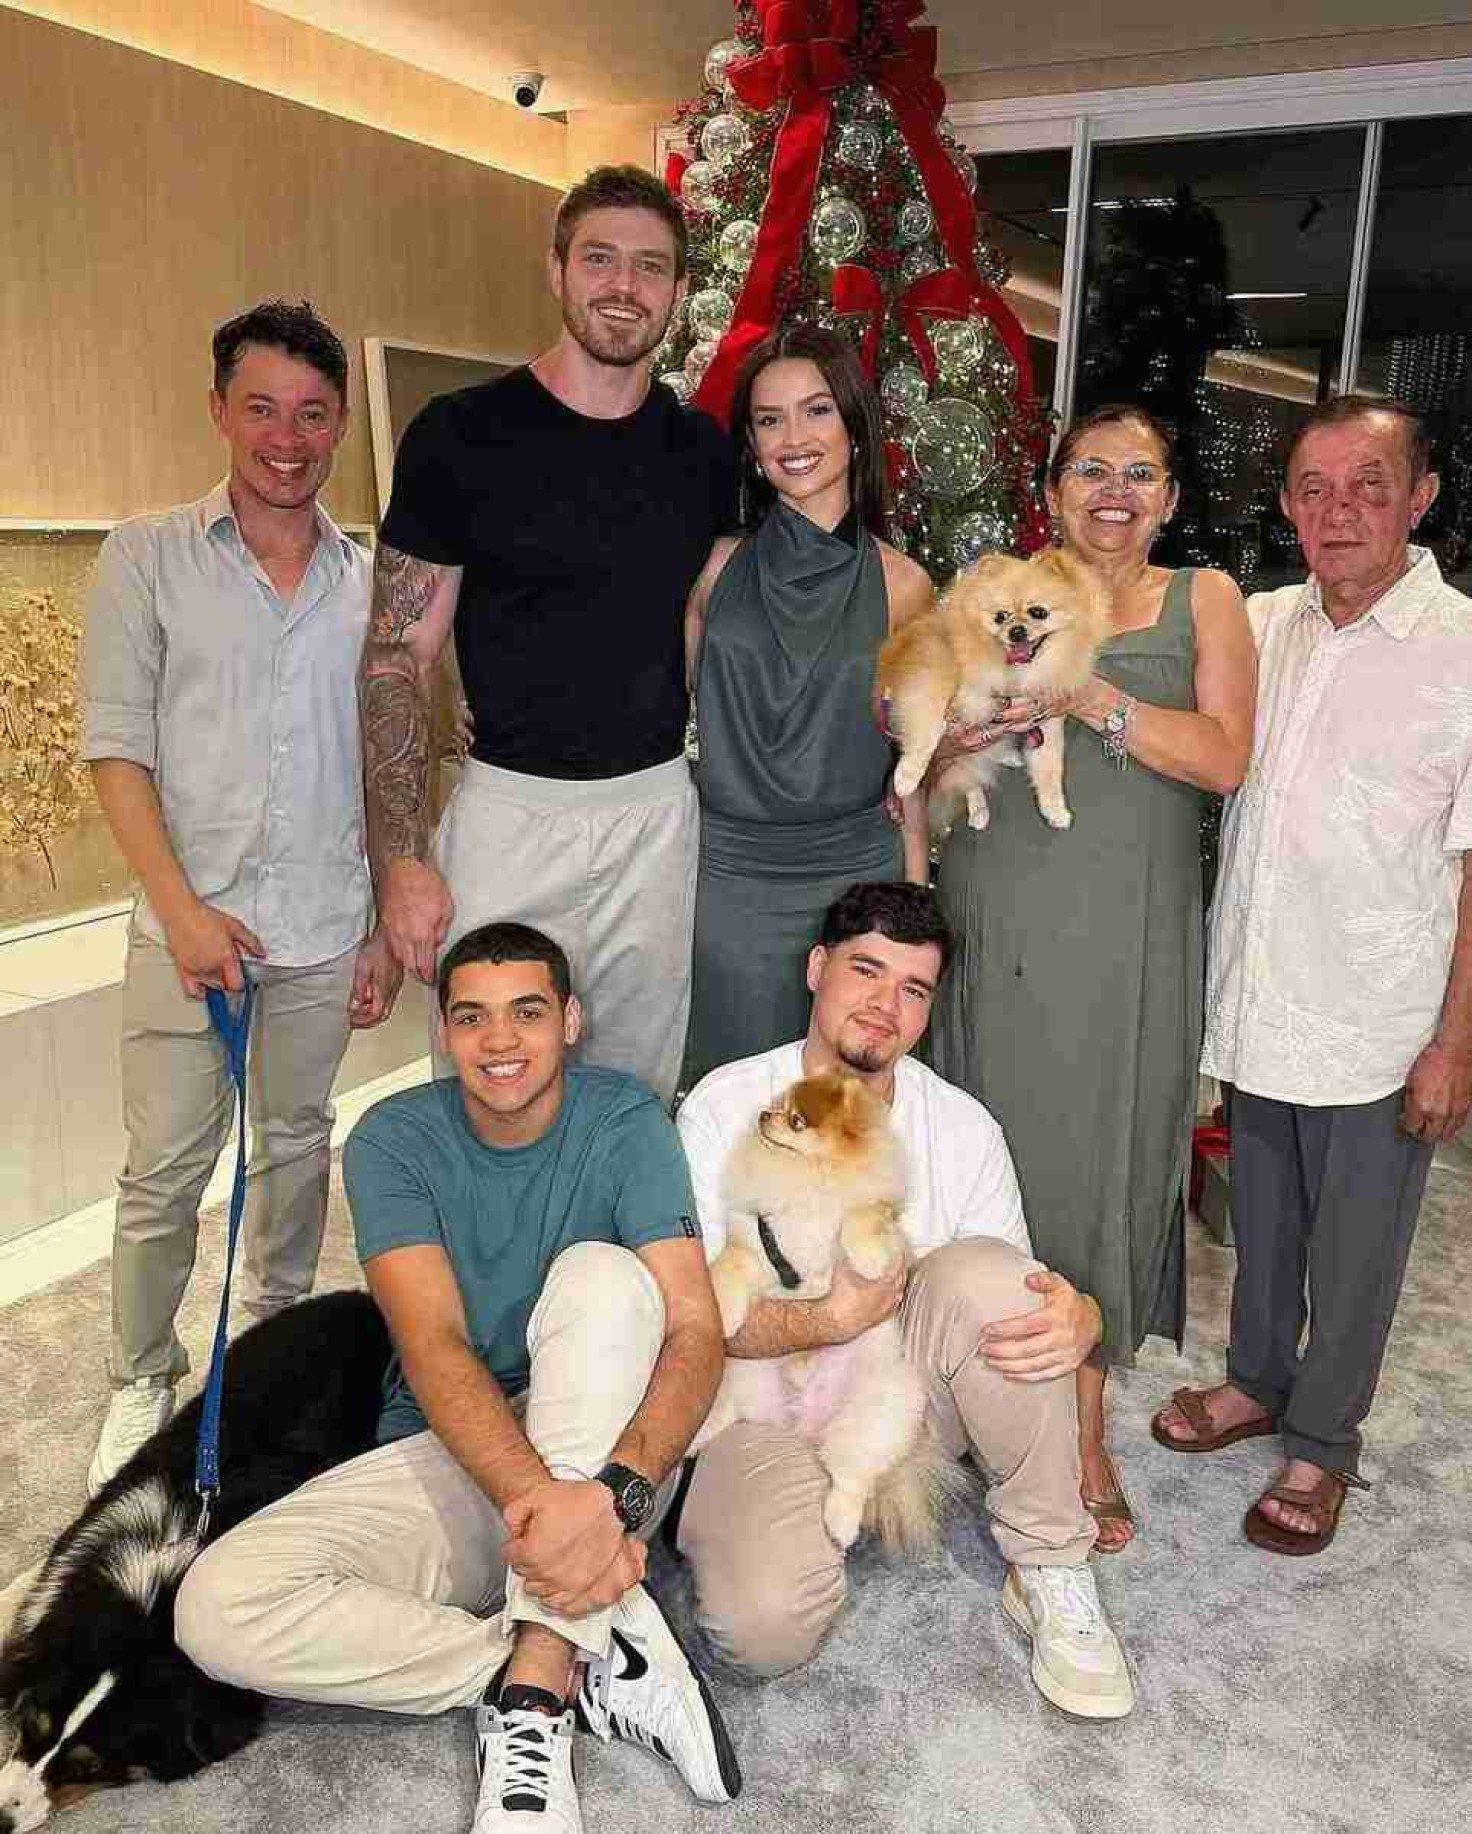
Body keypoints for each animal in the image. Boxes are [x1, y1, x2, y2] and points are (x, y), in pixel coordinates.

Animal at [693, 1073, 964, 1555]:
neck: (806, 1180)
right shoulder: (754, 1239)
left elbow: (861, 1218)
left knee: (850, 1475)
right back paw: (698, 1434)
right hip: (742, 1373)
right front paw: (723, 1310)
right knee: (730, 1410)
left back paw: (841, 1523)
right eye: (776, 1106)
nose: (763, 1115)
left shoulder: (879, 1219)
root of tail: (803, 1424)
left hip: (882, 1405)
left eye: (796, 1121)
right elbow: (729, 1267)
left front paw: (869, 1260)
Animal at [879, 546, 1110, 835]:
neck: (1014, 672)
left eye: (1038, 612)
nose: (1016, 631)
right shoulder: (929, 674)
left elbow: (1049, 768)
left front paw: (1055, 810)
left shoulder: (1044, 722)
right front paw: (906, 777)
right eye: (1000, 617)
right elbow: (927, 728)